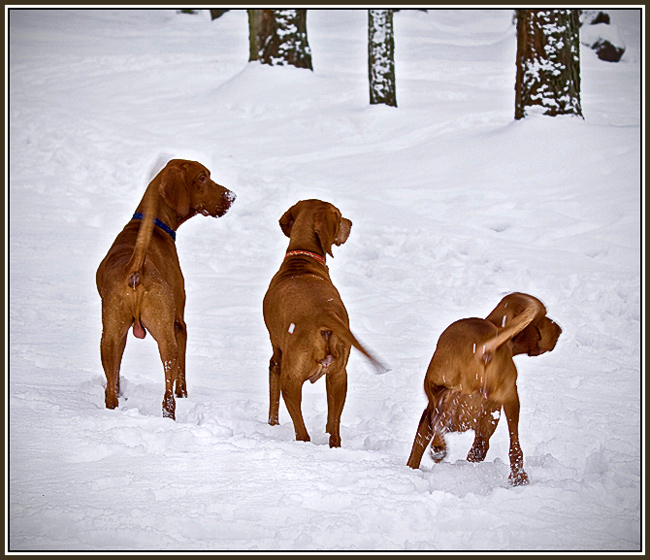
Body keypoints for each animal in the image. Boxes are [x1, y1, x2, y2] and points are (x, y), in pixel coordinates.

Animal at [96, 160, 235, 418]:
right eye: (203, 177)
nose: (231, 196)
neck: (151, 224)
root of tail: (135, 269)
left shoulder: (119, 335)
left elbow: (116, 375)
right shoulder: (179, 323)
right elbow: (182, 374)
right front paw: (185, 395)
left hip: (107, 337)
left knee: (110, 392)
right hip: (166, 336)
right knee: (168, 394)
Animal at [264, 199, 384, 448]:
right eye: (339, 215)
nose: (350, 222)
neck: (302, 259)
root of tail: (324, 314)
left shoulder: (276, 358)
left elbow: (273, 401)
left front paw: (272, 425)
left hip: (291, 379)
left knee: (302, 432)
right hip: (340, 377)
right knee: (335, 431)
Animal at [402, 294, 560, 486]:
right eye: (544, 318)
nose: (559, 329)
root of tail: (483, 348)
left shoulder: (429, 414)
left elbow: (417, 450)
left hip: (441, 397)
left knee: (441, 416)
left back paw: (439, 446)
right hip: (509, 399)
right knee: (514, 445)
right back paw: (518, 476)